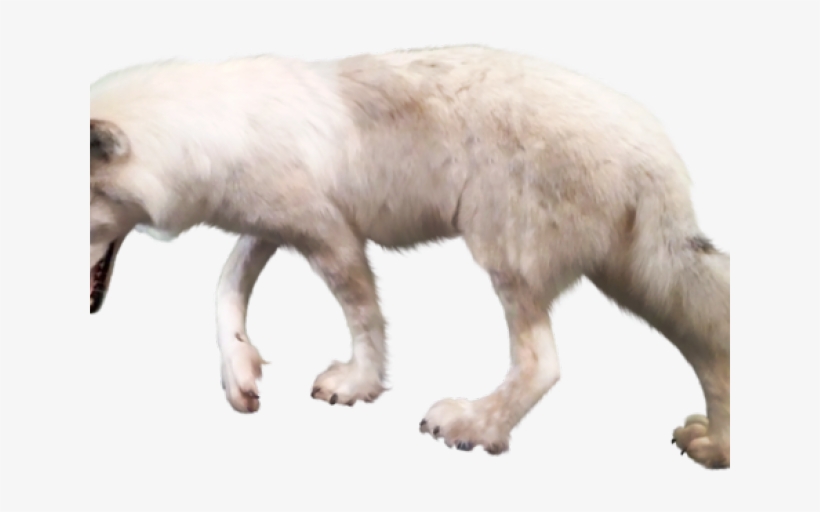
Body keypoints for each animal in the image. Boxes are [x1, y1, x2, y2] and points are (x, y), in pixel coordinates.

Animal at [90, 45, 730, 468]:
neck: (207, 134)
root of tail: (659, 153)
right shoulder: (276, 224)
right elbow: (225, 286)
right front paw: (240, 375)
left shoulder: (332, 236)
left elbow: (363, 318)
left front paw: (356, 385)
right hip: (634, 277)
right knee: (710, 349)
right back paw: (715, 447)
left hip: (506, 258)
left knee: (544, 363)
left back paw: (473, 425)